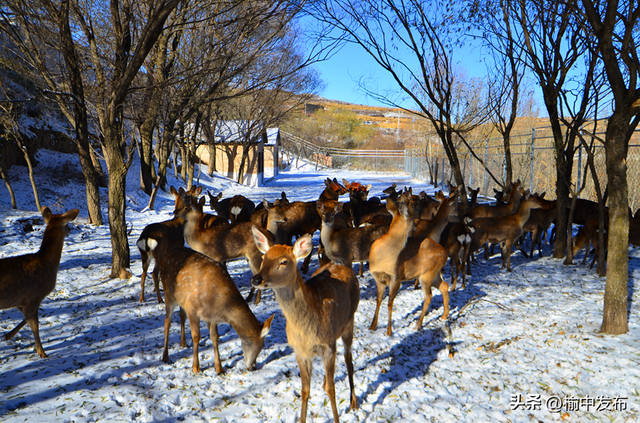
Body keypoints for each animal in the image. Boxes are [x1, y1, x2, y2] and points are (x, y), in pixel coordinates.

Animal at [0, 207, 79, 360]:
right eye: (67, 223)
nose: (71, 229)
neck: (48, 263)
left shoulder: (21, 300)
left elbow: (26, 320)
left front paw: (7, 335)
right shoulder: (33, 296)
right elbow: (35, 326)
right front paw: (42, 353)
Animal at [251, 227, 360, 422]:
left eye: (284, 261)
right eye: (263, 258)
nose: (256, 279)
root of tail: (341, 266)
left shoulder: (328, 347)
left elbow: (332, 390)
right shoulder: (299, 350)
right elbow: (305, 390)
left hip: (349, 322)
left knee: (349, 359)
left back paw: (353, 402)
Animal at [364, 196, 450, 338]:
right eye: (411, 216)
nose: (416, 224)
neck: (383, 257)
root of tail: (445, 253)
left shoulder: (396, 277)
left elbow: (389, 303)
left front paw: (389, 332)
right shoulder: (378, 278)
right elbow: (379, 300)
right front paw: (372, 327)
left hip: (427, 274)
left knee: (429, 296)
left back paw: (418, 324)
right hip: (433, 274)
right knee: (444, 286)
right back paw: (444, 315)